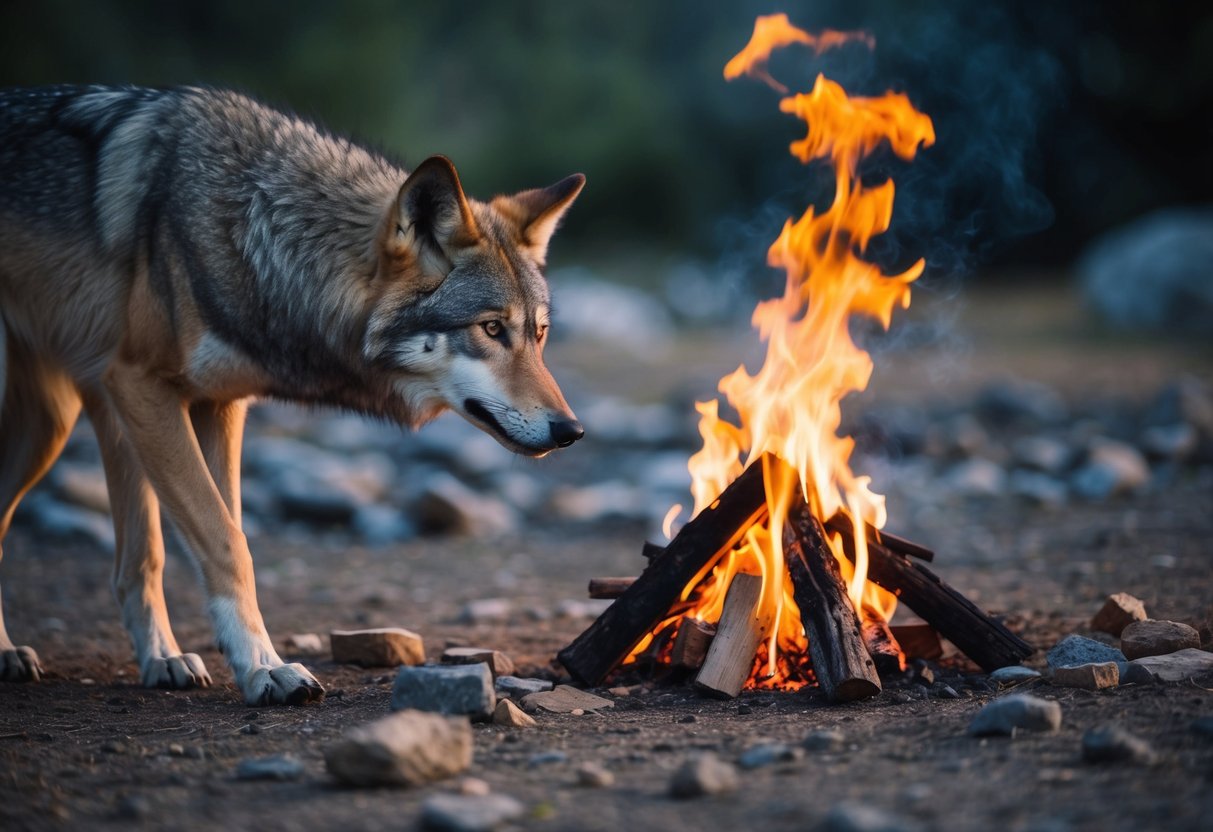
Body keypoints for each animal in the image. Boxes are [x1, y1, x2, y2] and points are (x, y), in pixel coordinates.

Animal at [0, 85, 585, 704]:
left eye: (539, 334)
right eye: (492, 329)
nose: (571, 431)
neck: (253, 231)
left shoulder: (216, 405)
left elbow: (214, 535)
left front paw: (239, 660)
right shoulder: (139, 386)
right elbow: (228, 543)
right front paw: (265, 667)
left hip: (59, 422)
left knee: (127, 553)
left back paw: (155, 658)